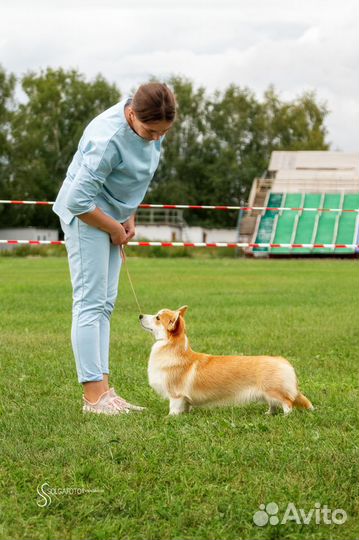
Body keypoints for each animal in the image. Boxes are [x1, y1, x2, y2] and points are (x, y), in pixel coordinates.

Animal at [139, 306, 314, 416]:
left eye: (157, 318)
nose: (140, 315)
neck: (173, 349)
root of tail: (283, 362)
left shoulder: (176, 395)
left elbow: (174, 408)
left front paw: (169, 418)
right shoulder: (184, 399)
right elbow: (186, 407)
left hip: (274, 392)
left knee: (287, 403)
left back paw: (286, 416)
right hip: (268, 394)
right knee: (273, 405)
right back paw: (268, 414)